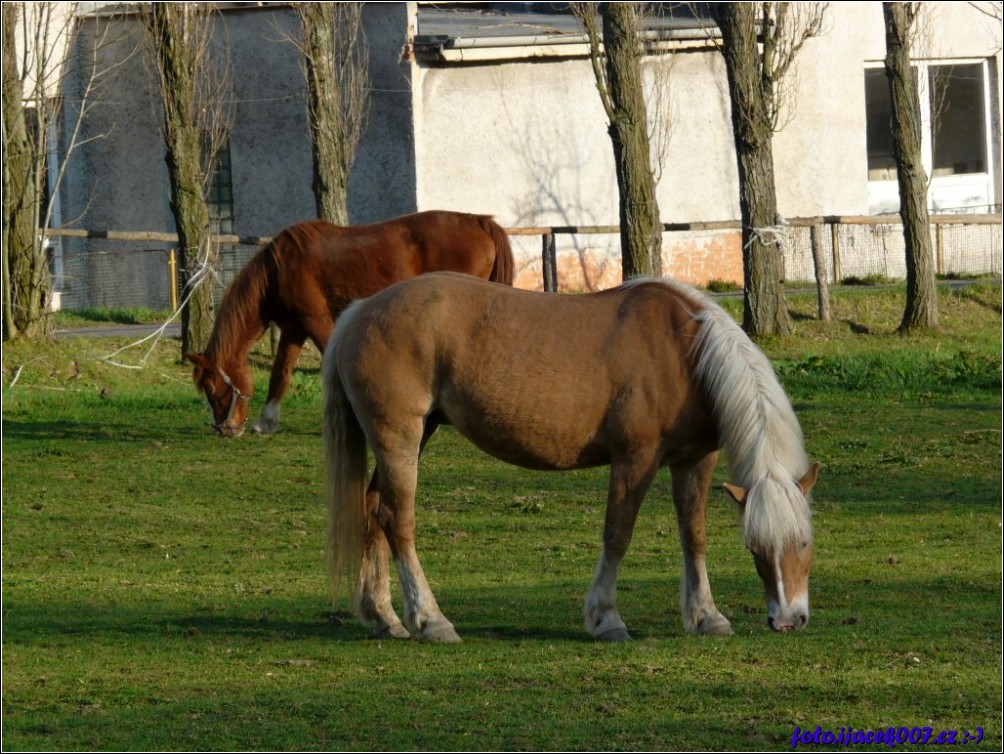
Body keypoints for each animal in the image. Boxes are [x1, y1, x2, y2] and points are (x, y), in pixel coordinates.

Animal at [187, 210, 514, 435]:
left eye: (213, 389)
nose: (225, 429)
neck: (280, 270)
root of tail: (480, 221)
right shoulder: (294, 329)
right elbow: (280, 372)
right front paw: (266, 422)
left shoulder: (317, 321)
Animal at [325, 271, 819, 642]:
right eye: (756, 546)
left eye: (804, 542)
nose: (788, 619)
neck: (685, 352)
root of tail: (359, 311)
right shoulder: (635, 458)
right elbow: (617, 534)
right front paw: (607, 619)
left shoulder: (695, 460)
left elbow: (693, 535)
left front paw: (706, 616)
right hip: (400, 436)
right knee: (397, 521)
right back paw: (431, 620)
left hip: (412, 437)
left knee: (373, 511)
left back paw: (384, 618)